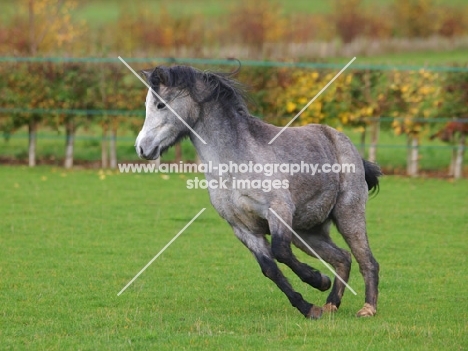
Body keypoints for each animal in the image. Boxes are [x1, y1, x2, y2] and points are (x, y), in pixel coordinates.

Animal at [134, 64, 380, 320]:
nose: (142, 148)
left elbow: (280, 251)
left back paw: (368, 308)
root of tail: (343, 142)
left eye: (161, 104)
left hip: (348, 215)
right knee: (343, 257)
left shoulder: (279, 211)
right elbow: (270, 269)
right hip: (307, 233)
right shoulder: (244, 229)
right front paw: (309, 307)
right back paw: (330, 304)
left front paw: (318, 279)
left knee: (367, 260)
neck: (235, 163)